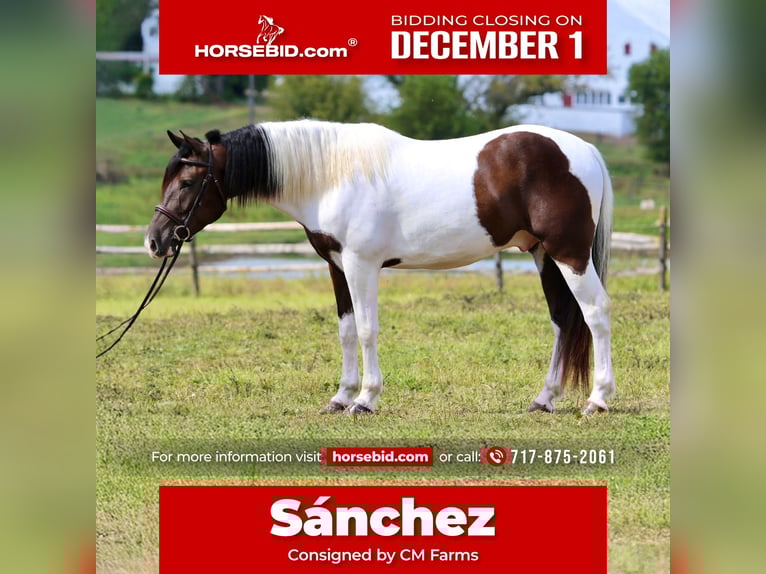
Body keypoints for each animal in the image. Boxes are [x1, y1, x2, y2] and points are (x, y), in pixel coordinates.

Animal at [145, 120, 614, 416]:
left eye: (187, 182)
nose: (155, 241)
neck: (330, 176)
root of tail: (586, 150)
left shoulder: (362, 265)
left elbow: (368, 330)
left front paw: (365, 400)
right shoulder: (337, 267)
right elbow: (346, 331)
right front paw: (340, 397)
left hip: (569, 253)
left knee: (596, 314)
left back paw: (597, 400)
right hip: (543, 255)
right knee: (562, 320)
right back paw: (544, 399)